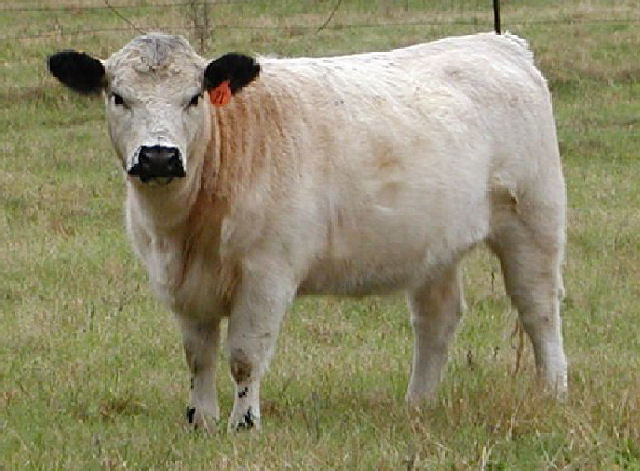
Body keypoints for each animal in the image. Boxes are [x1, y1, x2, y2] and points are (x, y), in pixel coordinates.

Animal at [47, 31, 568, 434]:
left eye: (194, 97)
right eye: (118, 97)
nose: (159, 156)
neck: (185, 230)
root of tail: (498, 42)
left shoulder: (267, 274)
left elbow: (244, 355)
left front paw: (243, 425)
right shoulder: (183, 285)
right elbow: (199, 356)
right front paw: (202, 421)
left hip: (533, 220)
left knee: (538, 309)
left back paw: (552, 391)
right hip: (433, 244)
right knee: (437, 320)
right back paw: (417, 404)